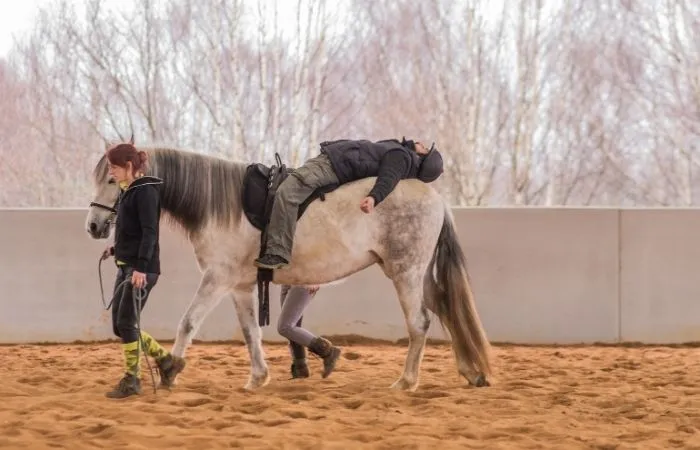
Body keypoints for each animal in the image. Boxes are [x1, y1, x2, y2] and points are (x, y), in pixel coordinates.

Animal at [86, 142, 492, 392]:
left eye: (113, 179)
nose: (93, 226)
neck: (222, 204)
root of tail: (436, 198)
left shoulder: (217, 279)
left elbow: (188, 322)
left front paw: (170, 369)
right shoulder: (240, 286)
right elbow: (251, 332)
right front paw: (257, 378)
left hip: (405, 273)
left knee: (420, 323)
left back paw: (407, 382)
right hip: (420, 275)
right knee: (446, 311)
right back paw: (471, 372)